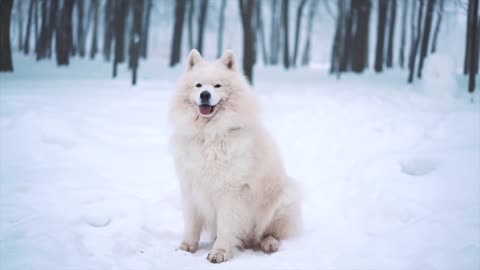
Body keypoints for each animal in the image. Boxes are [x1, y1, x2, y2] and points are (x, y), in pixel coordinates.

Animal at [171, 49, 302, 264]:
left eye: (217, 85)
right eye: (198, 85)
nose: (205, 94)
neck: (210, 135)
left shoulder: (230, 192)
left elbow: (226, 227)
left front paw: (219, 252)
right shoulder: (190, 187)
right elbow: (191, 223)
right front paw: (187, 247)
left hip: (282, 201)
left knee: (269, 233)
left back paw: (270, 243)